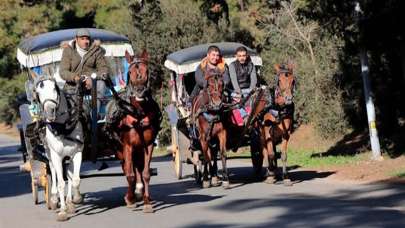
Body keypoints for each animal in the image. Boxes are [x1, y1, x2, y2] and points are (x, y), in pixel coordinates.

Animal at [34, 76, 84, 221]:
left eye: (54, 88)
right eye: (38, 93)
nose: (50, 111)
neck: (62, 128)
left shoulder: (77, 153)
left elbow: (75, 179)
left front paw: (75, 200)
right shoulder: (56, 156)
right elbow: (61, 182)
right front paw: (62, 211)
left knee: (69, 174)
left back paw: (69, 202)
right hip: (50, 154)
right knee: (54, 172)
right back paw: (54, 198)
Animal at [107, 50, 161, 213]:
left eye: (146, 70)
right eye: (130, 72)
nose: (139, 91)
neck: (138, 114)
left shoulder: (148, 145)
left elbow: (146, 173)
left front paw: (147, 202)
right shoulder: (128, 146)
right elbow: (130, 174)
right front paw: (129, 199)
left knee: (138, 168)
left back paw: (139, 191)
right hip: (120, 150)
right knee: (126, 168)